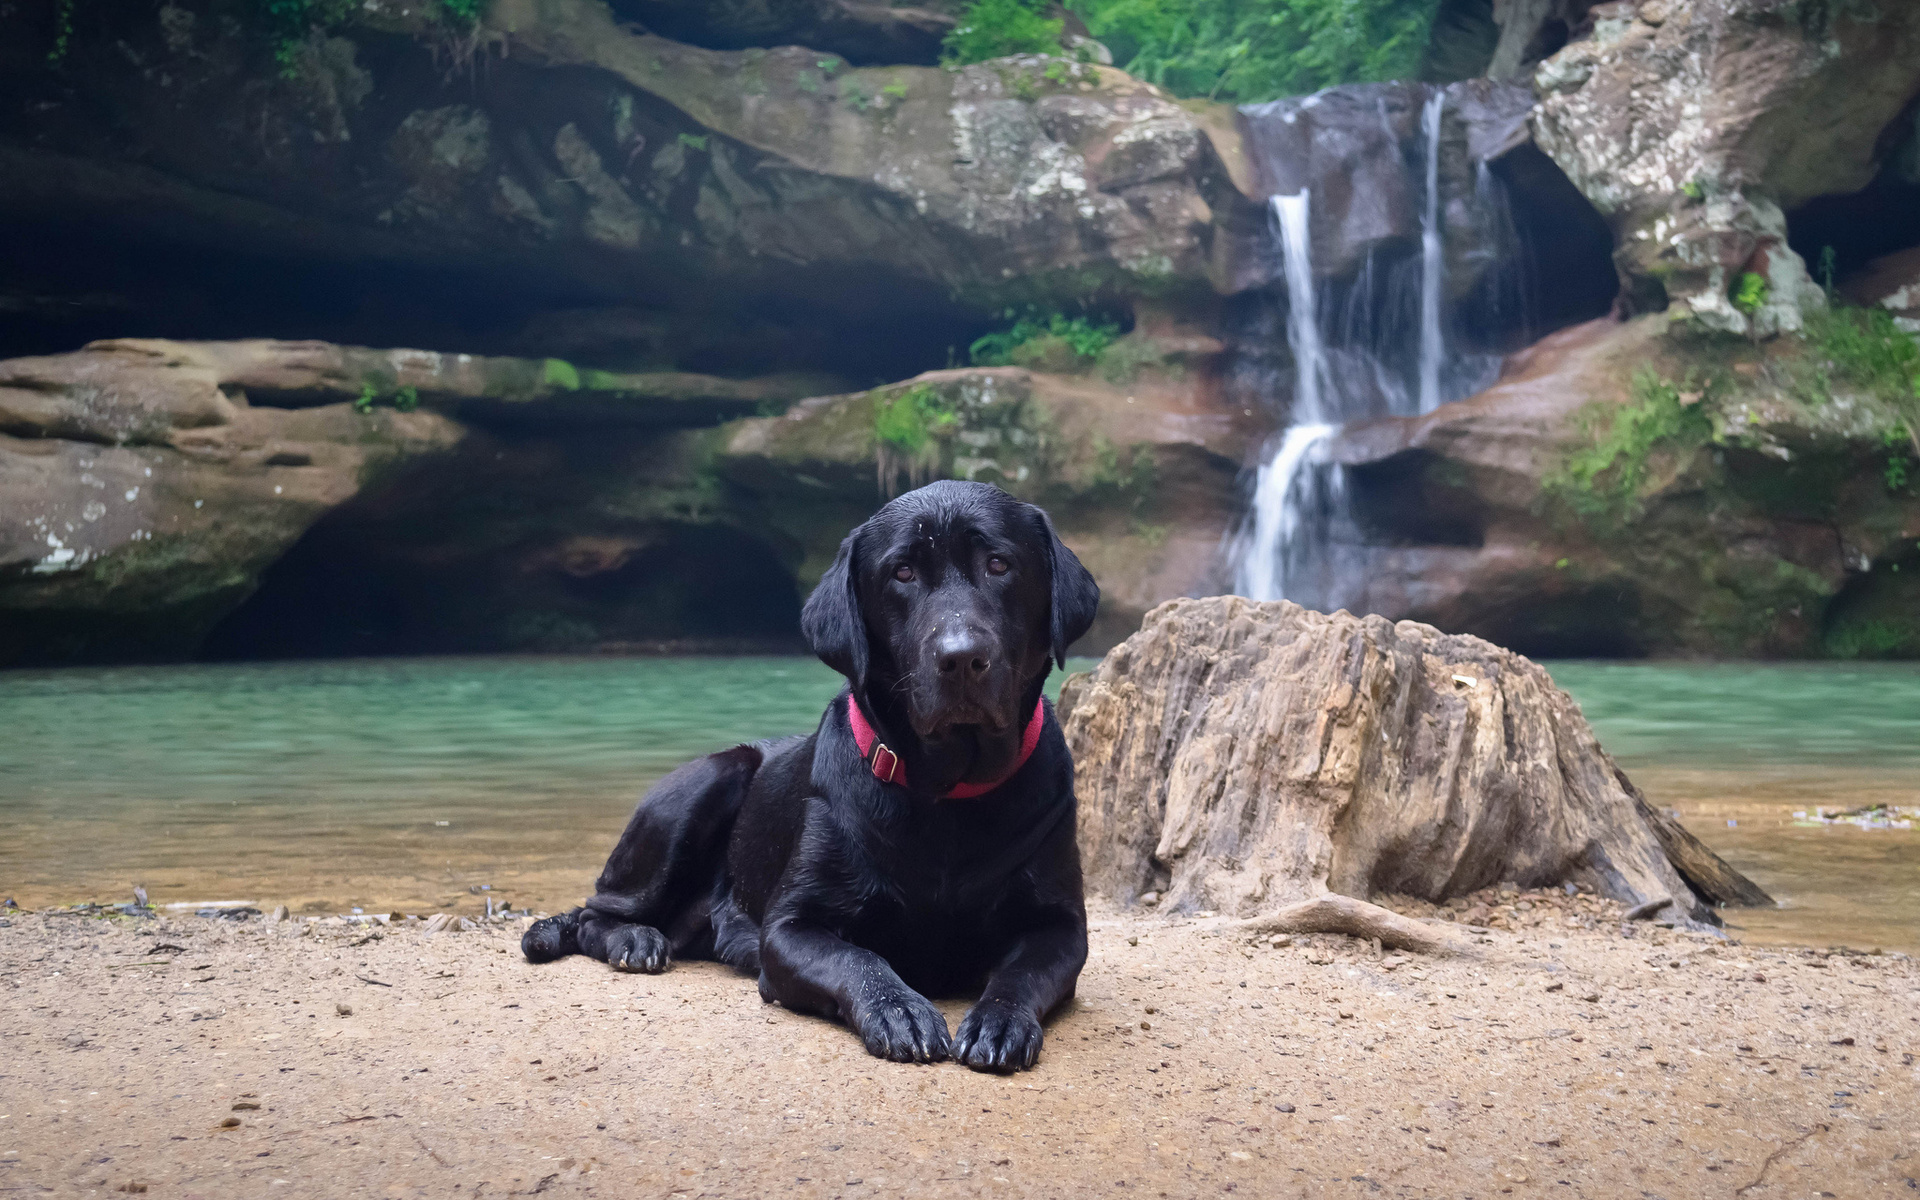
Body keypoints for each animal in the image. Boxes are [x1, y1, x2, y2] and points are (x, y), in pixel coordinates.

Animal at [522, 478, 1098, 1067]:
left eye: (999, 564)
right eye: (903, 573)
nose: (961, 658)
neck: (947, 792)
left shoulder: (1060, 927)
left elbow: (1021, 973)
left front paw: (1000, 1021)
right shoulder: (790, 928)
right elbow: (859, 960)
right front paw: (899, 1009)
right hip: (706, 785)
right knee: (593, 911)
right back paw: (634, 940)